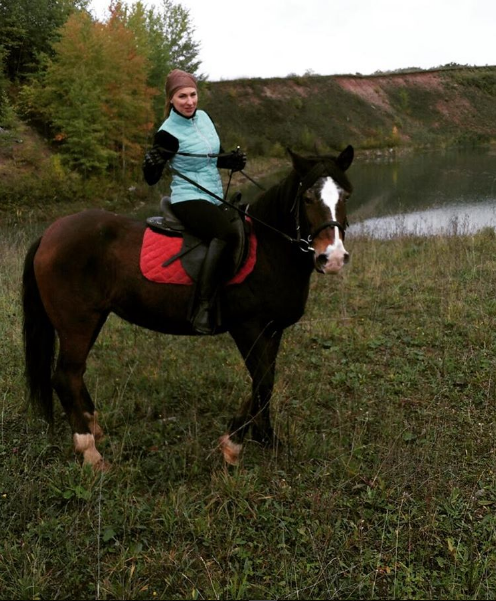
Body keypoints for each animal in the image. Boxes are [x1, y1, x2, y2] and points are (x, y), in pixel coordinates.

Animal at [22, 145, 354, 469]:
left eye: (345, 196)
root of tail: (49, 233)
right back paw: (89, 451)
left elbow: (265, 382)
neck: (268, 251)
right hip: (76, 322)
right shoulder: (247, 329)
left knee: (76, 373)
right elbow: (262, 381)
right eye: (308, 198)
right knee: (64, 377)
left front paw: (267, 439)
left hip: (92, 318)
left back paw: (93, 427)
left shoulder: (272, 331)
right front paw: (233, 446)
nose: (333, 258)